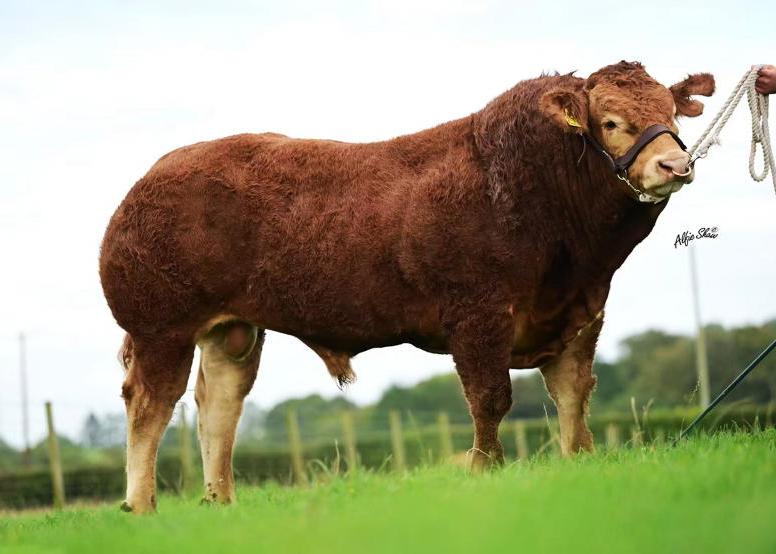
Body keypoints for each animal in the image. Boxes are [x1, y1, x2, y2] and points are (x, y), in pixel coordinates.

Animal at [99, 61, 715, 513]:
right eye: (609, 121)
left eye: (672, 114)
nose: (676, 164)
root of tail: (152, 176)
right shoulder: (478, 316)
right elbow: (490, 399)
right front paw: (485, 471)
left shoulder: (581, 315)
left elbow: (573, 397)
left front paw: (577, 463)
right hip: (160, 327)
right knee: (150, 405)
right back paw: (141, 505)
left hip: (232, 330)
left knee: (219, 403)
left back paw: (220, 500)